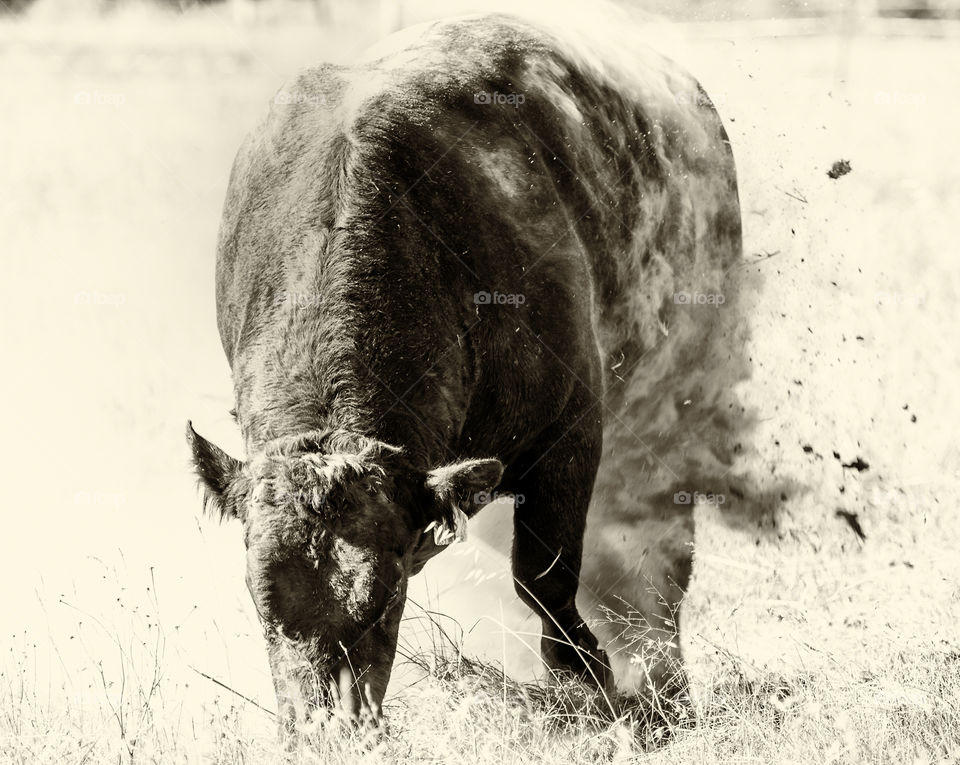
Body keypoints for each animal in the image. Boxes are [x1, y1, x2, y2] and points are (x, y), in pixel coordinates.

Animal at [187, 12, 742, 735]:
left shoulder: (571, 432)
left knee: (665, 551)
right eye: (261, 600)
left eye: (386, 595)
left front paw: (585, 674)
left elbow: (544, 573)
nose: (328, 730)